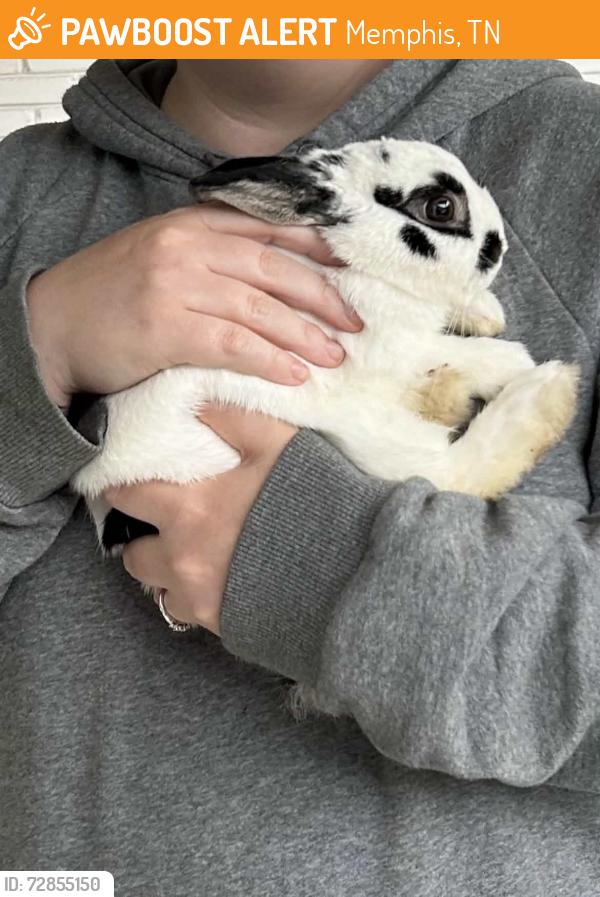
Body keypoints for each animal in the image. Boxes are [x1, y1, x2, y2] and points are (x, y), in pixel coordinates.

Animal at [71, 138, 579, 555]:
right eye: (440, 207)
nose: (500, 247)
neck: (355, 263)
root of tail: (110, 506)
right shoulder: (389, 347)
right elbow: (449, 351)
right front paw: (510, 355)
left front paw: (488, 313)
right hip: (351, 426)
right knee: (450, 468)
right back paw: (547, 388)